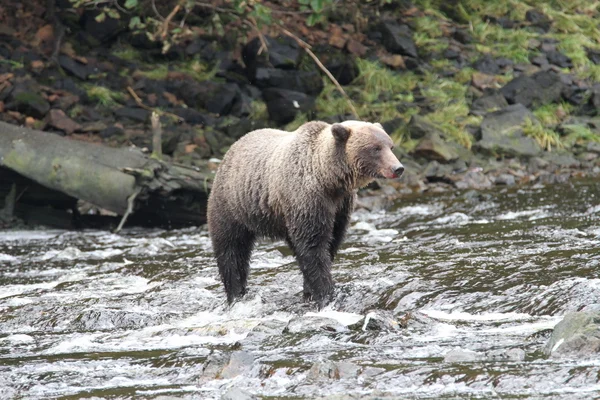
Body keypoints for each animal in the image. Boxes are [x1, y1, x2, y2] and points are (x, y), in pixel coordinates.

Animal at [206, 120, 404, 308]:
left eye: (391, 146)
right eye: (375, 148)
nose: (398, 168)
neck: (329, 179)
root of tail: (231, 149)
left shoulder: (341, 206)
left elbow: (331, 241)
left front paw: (310, 290)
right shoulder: (307, 199)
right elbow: (313, 246)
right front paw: (326, 293)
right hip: (232, 205)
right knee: (231, 249)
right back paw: (235, 293)